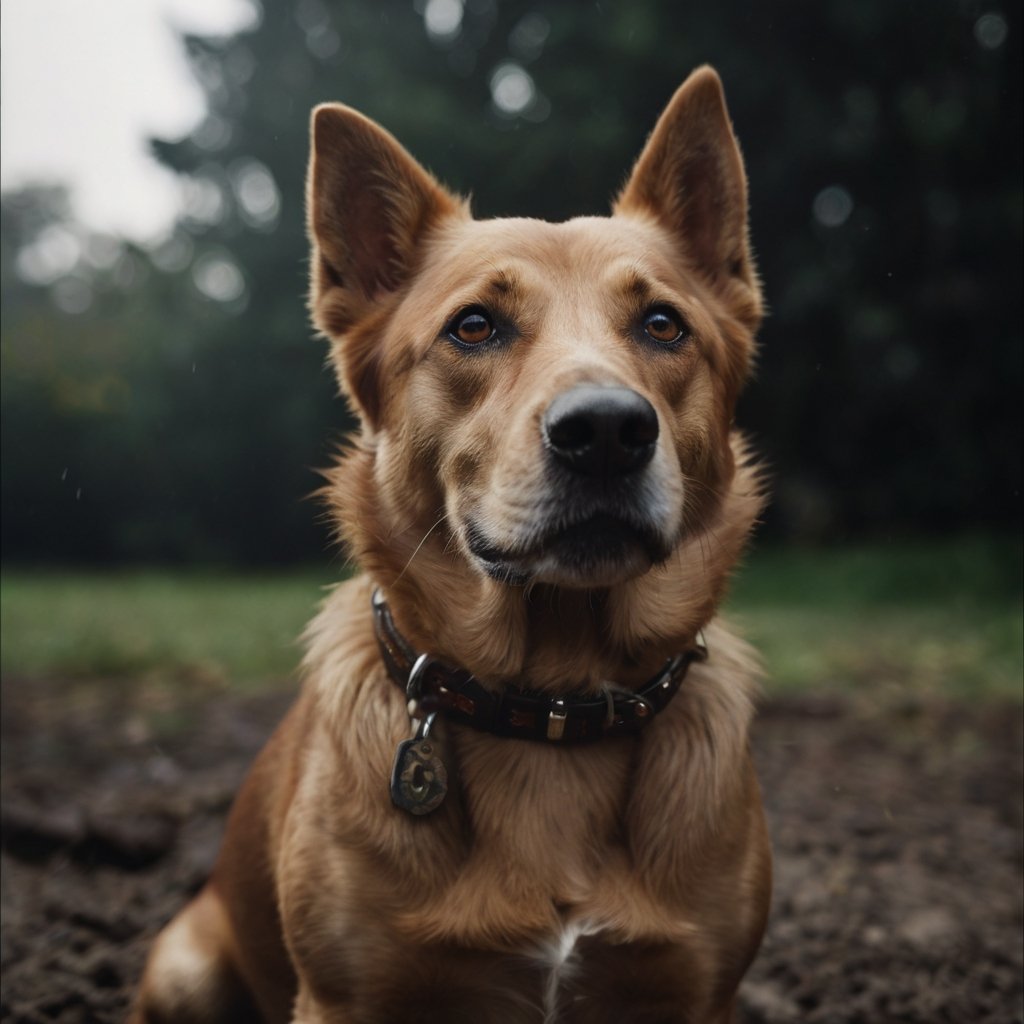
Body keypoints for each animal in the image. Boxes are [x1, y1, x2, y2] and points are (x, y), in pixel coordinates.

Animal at [134, 66, 770, 1024]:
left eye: (663, 325)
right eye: (474, 327)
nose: (607, 432)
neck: (552, 708)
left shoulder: (701, 992)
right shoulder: (342, 998)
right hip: (186, 973)